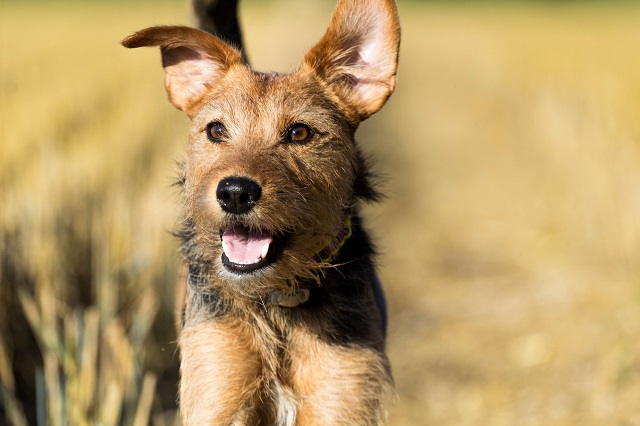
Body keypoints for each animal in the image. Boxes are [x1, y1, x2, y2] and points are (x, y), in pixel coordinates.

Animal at [120, 0, 400, 422]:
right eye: (216, 130)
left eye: (300, 133)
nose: (235, 193)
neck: (275, 303)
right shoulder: (217, 387)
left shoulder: (340, 395)